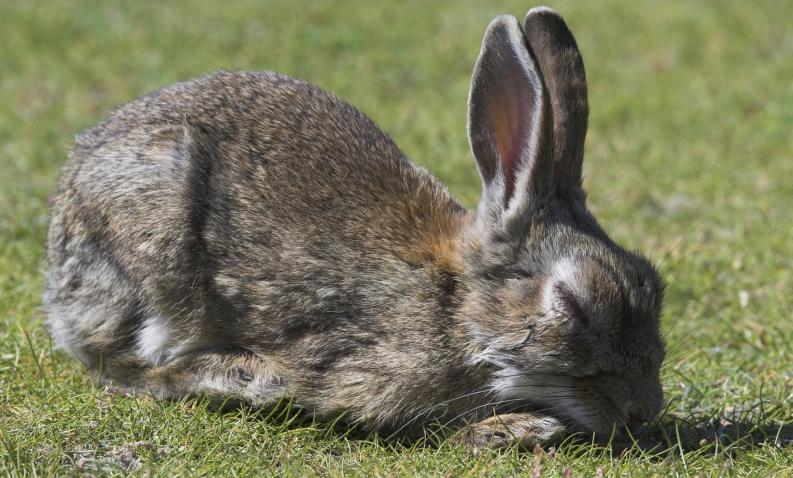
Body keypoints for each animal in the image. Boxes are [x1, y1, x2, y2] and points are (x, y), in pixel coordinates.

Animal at [43, 5, 664, 450]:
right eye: (575, 304)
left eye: (654, 284)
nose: (644, 411)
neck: (455, 303)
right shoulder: (360, 371)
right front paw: (515, 429)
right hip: (157, 243)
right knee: (125, 366)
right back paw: (245, 377)